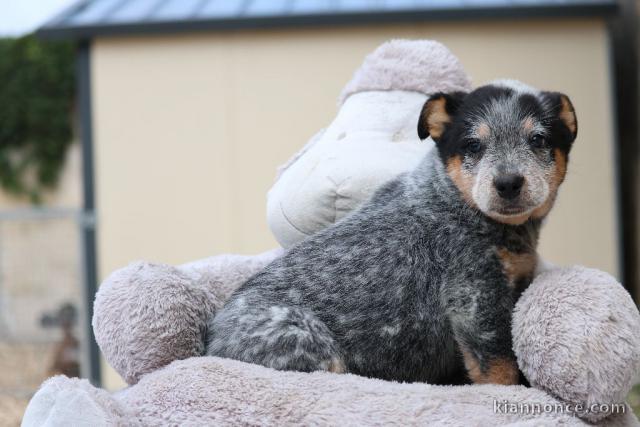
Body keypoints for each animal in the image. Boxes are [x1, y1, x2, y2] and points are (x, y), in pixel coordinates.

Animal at [208, 79, 576, 384]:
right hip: (310, 344)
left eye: (539, 139)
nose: (508, 183)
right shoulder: (474, 296)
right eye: (473, 144)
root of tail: (210, 343)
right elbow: (500, 368)